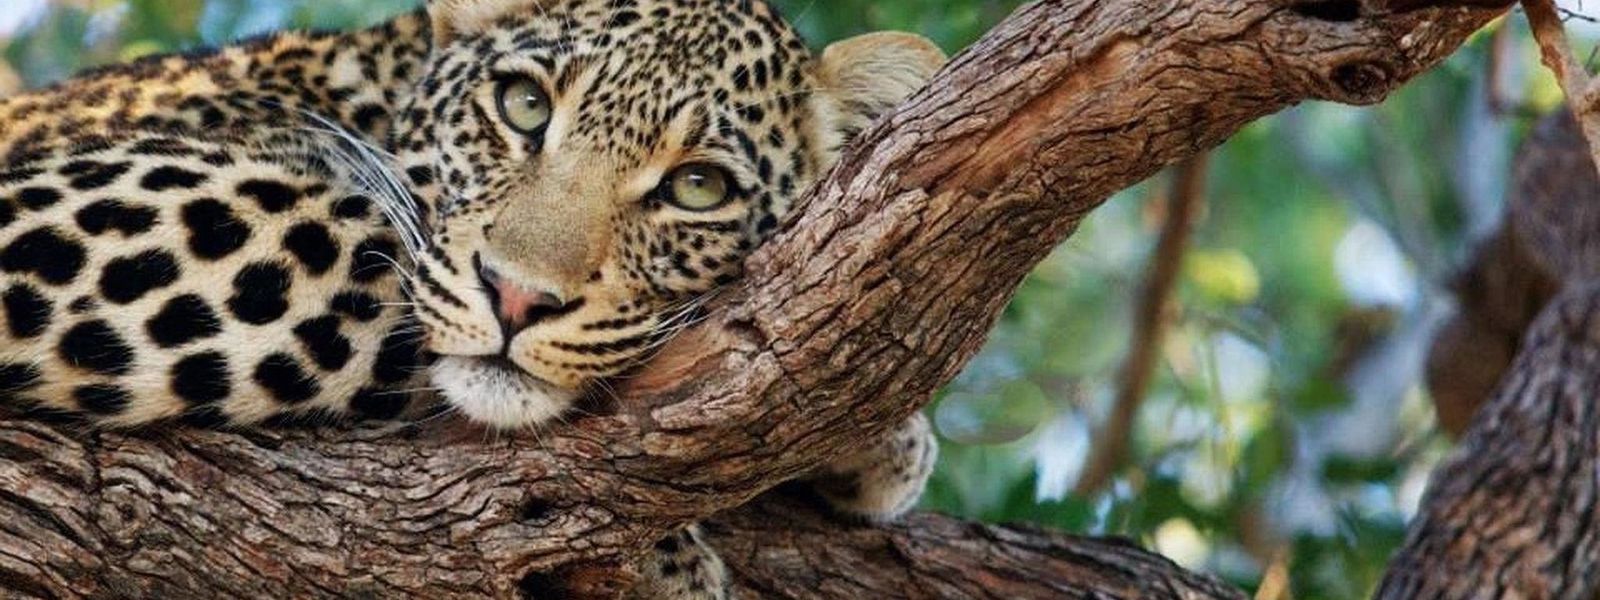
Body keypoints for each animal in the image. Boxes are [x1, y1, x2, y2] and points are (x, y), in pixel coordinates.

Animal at [0, 0, 944, 597]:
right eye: (523, 106)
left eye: (698, 188)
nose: (517, 298)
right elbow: (386, 261)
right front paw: (665, 561)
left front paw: (877, 434)